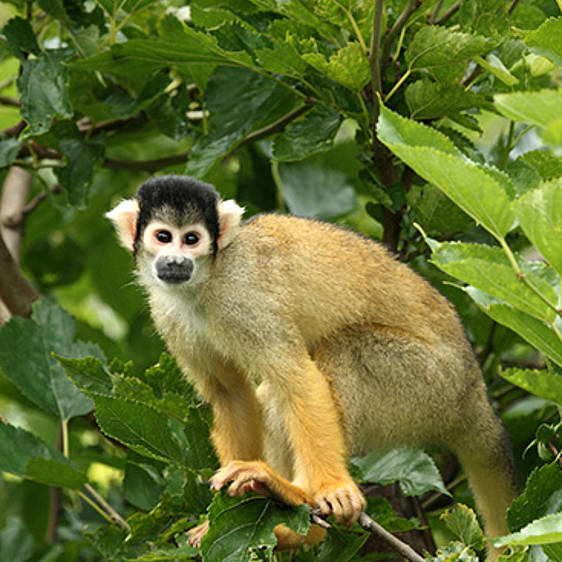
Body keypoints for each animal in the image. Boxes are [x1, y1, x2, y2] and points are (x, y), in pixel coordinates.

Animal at [107, 174, 516, 556]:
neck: (205, 281)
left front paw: (328, 487)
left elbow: (296, 377)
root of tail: (475, 389)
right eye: (164, 237)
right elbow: (230, 392)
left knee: (345, 351)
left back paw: (300, 499)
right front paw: (221, 513)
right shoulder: (168, 314)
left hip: (430, 383)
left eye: (191, 239)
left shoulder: (242, 296)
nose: (176, 261)